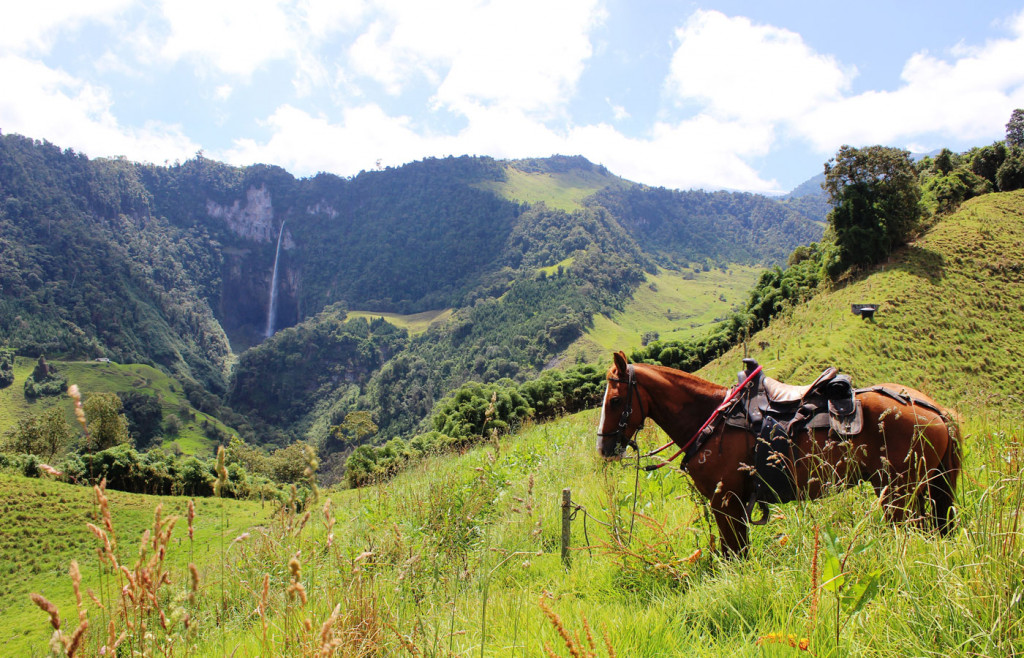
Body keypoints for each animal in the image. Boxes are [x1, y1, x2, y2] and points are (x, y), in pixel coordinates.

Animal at [593, 349, 958, 556]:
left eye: (615, 400)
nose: (604, 447)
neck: (712, 418)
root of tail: (935, 409)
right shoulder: (734, 504)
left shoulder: (724, 502)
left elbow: (734, 554)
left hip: (899, 492)